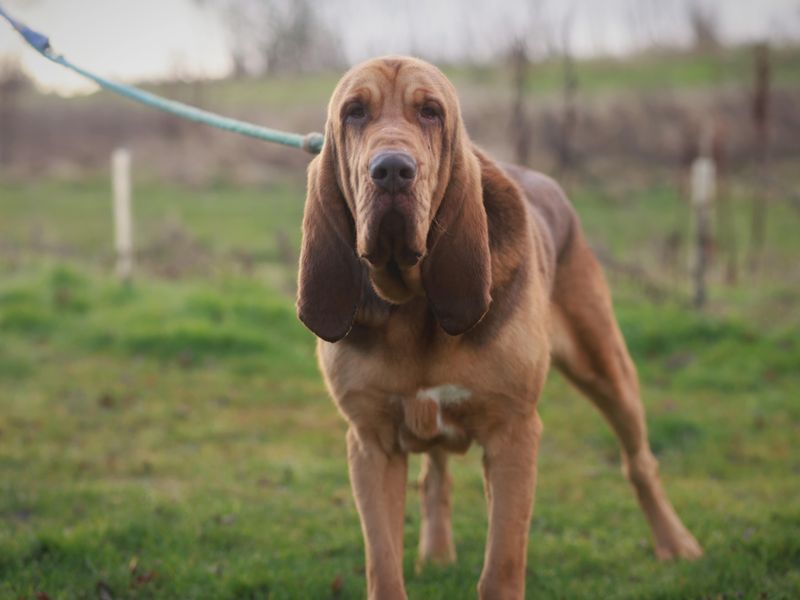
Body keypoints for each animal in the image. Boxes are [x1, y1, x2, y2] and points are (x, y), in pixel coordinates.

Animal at [294, 56, 700, 600]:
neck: (413, 302)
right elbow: (384, 567)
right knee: (435, 475)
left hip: (608, 372)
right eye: (354, 112)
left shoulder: (514, 435)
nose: (392, 170)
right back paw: (437, 553)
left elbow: (501, 569)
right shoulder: (371, 443)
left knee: (640, 463)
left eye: (431, 112)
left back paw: (676, 544)